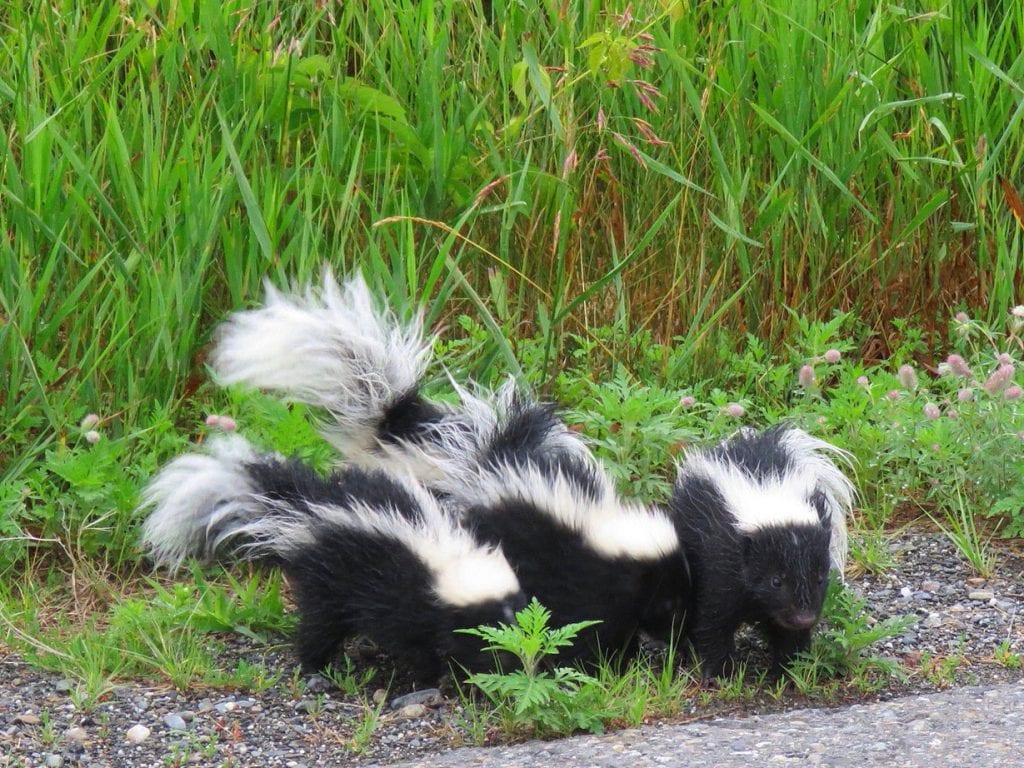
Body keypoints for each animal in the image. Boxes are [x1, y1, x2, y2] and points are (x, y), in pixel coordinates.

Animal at [140, 436, 524, 684]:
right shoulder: (401, 595)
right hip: (328, 578)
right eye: (485, 630)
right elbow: (414, 643)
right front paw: (432, 677)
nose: (519, 660)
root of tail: (304, 504)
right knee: (319, 626)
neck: (449, 557)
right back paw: (315, 669)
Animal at [671, 423, 856, 684]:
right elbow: (713, 619)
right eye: (776, 580)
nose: (805, 617)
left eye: (820, 579)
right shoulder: (719, 563)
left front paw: (787, 673)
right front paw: (719, 673)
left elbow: (787, 634)